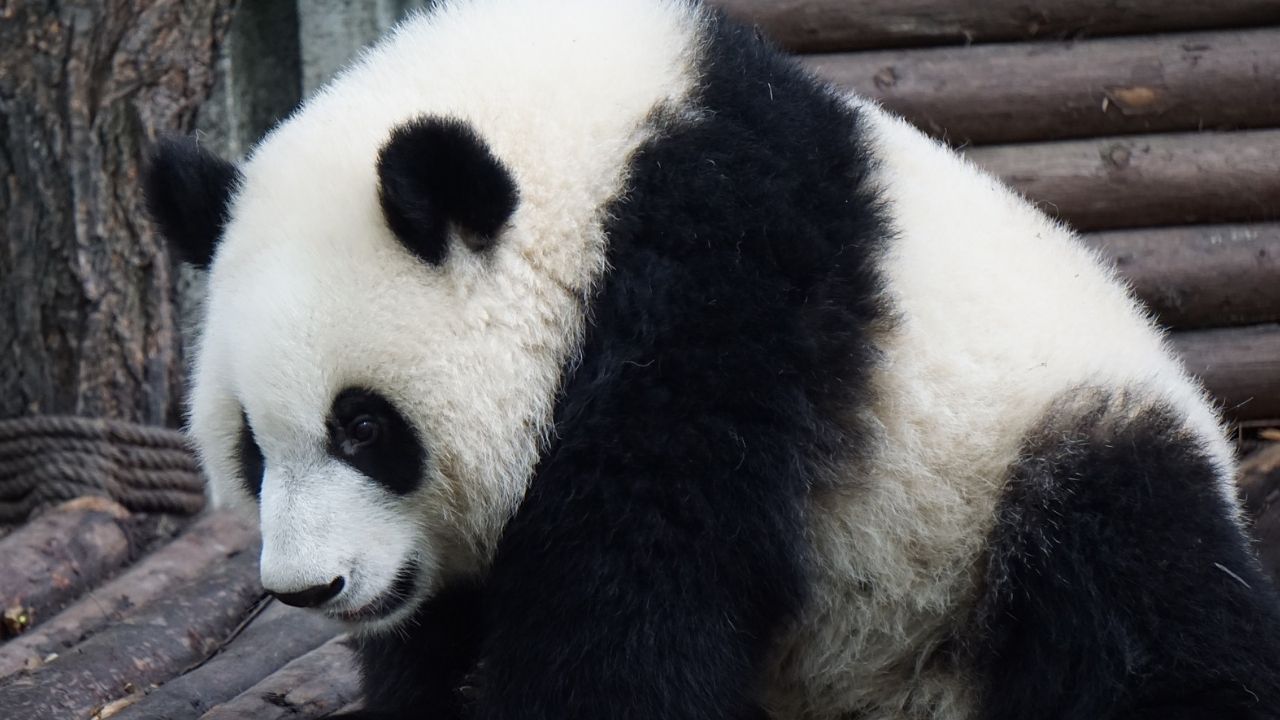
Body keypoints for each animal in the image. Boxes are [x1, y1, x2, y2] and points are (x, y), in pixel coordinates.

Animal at [143, 0, 1280, 718]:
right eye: (250, 448)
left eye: (366, 426)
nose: (309, 587)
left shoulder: (715, 301)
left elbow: (637, 592)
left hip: (1018, 477)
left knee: (1130, 591)